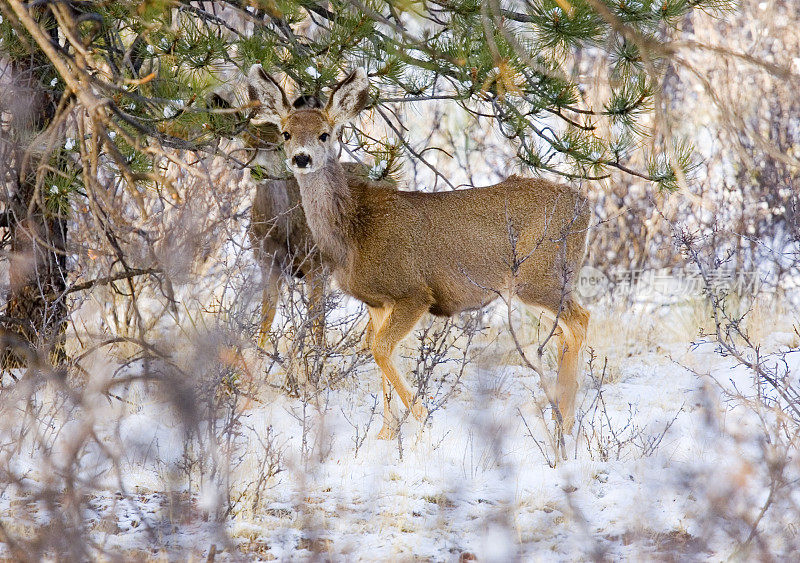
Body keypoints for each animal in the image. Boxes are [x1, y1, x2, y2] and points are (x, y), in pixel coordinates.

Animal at [247, 64, 592, 438]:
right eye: (285, 133)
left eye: (325, 134)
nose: (301, 157)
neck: (353, 231)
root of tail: (585, 206)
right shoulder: (377, 301)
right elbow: (379, 353)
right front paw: (386, 434)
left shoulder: (413, 291)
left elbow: (380, 349)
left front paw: (422, 419)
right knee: (565, 330)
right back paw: (559, 415)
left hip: (537, 276)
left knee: (580, 320)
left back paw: (565, 422)